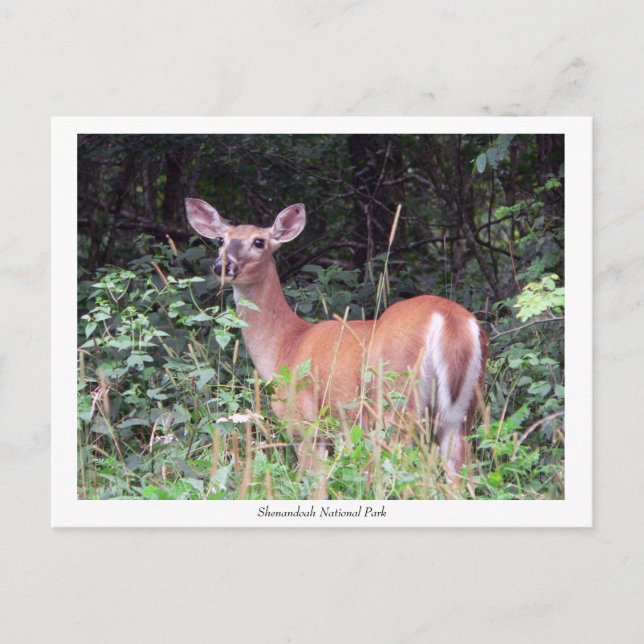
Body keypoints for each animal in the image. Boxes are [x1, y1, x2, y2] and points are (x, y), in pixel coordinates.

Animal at [185, 198, 487, 484]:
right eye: (221, 239)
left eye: (259, 241)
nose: (222, 265)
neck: (286, 345)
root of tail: (449, 319)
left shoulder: (303, 421)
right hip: (461, 413)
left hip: (397, 400)